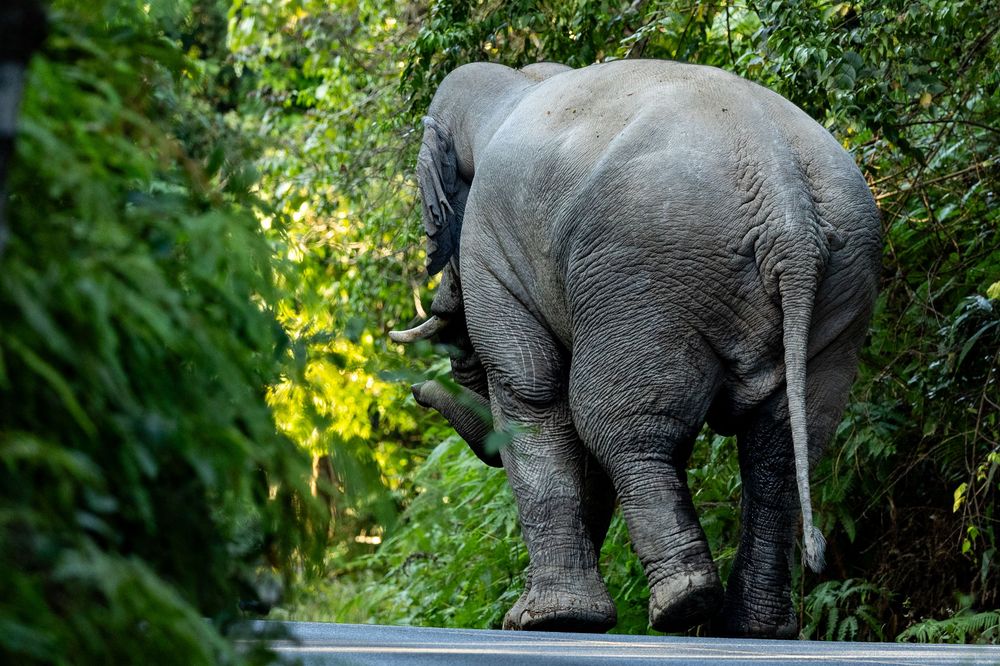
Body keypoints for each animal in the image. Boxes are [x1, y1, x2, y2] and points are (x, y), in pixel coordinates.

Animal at [390, 59, 881, 638]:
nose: (419, 390)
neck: (518, 82)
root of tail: (786, 206)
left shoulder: (494, 250)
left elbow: (531, 389)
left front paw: (544, 621)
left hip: (646, 276)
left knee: (614, 421)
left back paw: (685, 605)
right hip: (842, 285)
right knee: (778, 444)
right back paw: (751, 629)